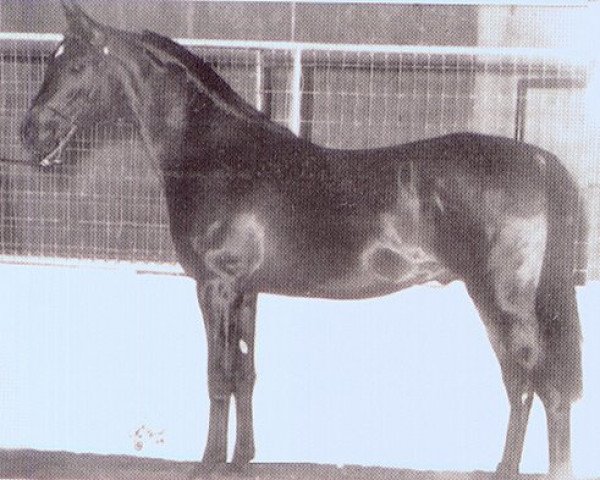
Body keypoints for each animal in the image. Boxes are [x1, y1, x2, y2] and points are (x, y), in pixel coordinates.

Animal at [19, 2, 584, 476]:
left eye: (75, 66)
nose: (29, 134)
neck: (217, 158)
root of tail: (538, 160)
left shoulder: (214, 287)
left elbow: (217, 377)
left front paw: (208, 463)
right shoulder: (245, 292)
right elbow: (244, 374)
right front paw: (242, 458)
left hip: (503, 300)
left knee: (541, 386)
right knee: (524, 386)